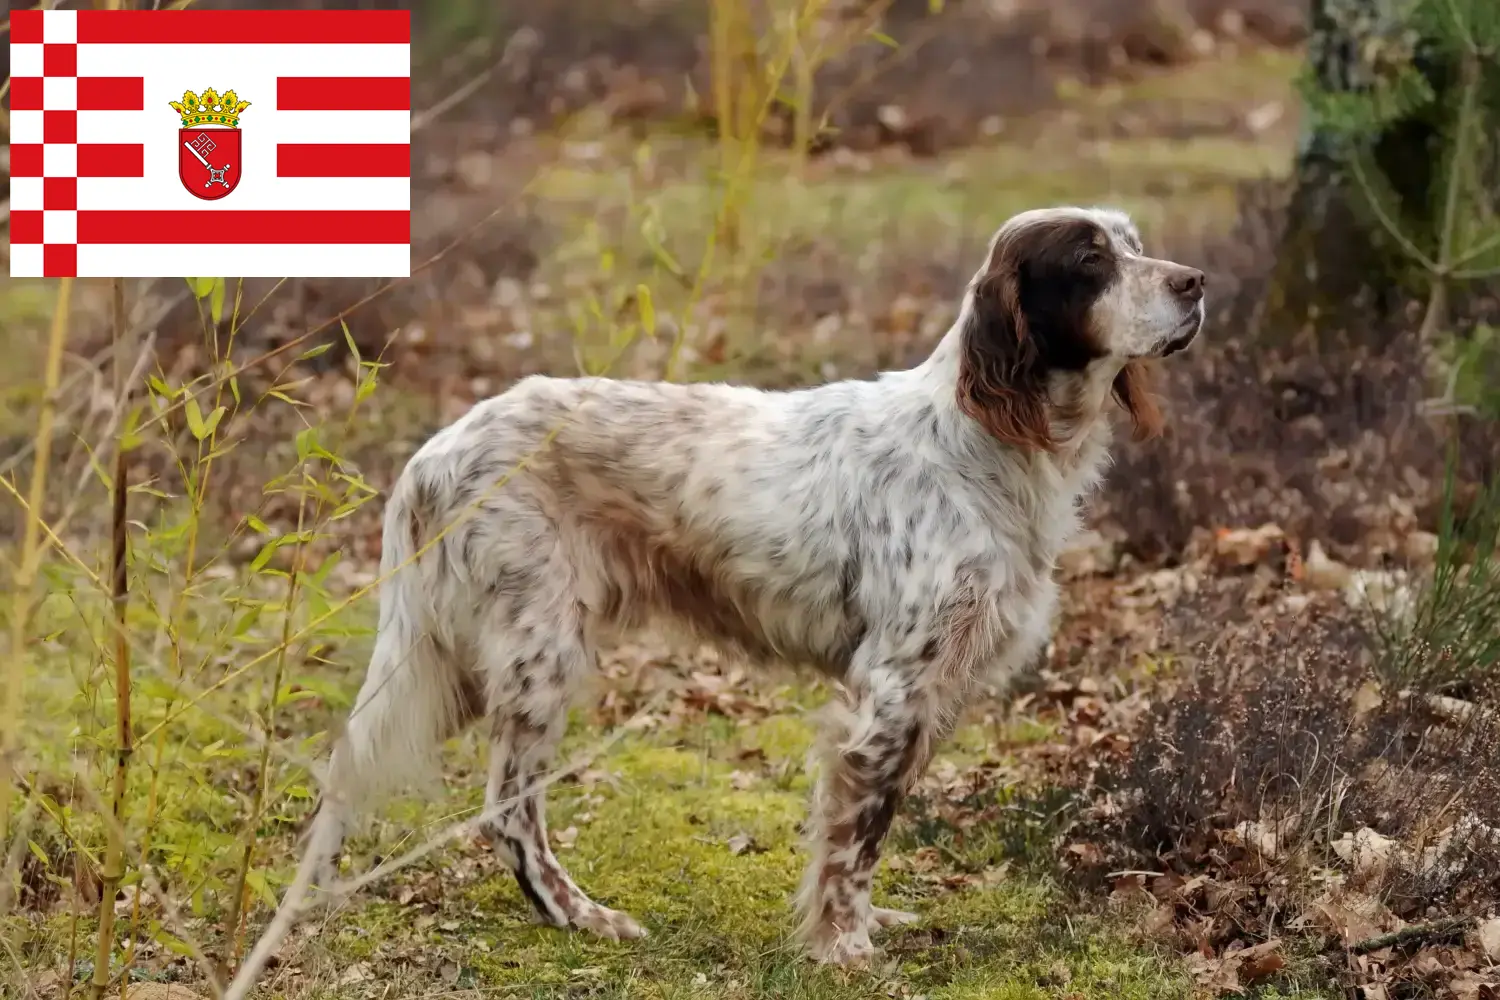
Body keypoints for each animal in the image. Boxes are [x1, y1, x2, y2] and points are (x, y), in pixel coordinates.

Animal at [298, 200, 1200, 959]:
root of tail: (433, 452)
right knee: (507, 809)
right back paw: (581, 915)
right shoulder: (891, 689)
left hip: (455, 662)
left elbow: (868, 828)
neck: (984, 443)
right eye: (1090, 259)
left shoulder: (937, 688)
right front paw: (843, 947)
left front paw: (864, 925)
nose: (1195, 283)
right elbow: (855, 835)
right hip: (535, 654)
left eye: (1134, 241)